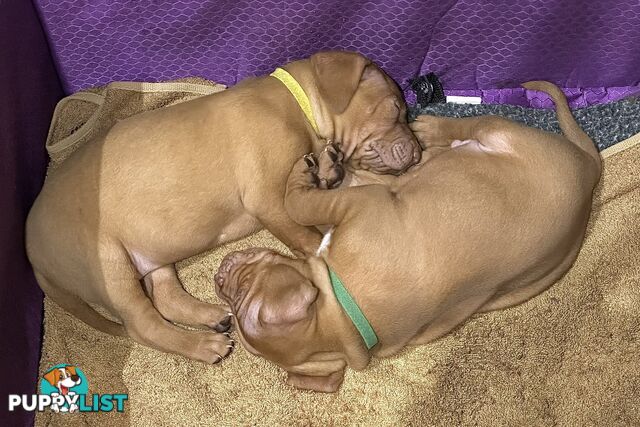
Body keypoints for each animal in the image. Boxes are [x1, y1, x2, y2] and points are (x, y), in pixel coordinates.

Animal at [27, 50, 422, 364]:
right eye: (395, 109)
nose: (419, 154)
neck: (297, 105)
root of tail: (33, 252)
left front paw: (328, 168)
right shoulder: (267, 197)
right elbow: (305, 237)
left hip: (152, 250)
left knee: (165, 297)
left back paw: (211, 316)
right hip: (109, 264)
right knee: (143, 325)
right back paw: (203, 345)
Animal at [214, 82, 600, 392]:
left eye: (244, 287)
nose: (219, 275)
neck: (343, 316)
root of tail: (590, 168)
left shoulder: (355, 204)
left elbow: (298, 204)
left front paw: (308, 171)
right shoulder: (362, 202)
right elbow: (307, 205)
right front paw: (322, 170)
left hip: (498, 132)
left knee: (463, 129)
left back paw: (421, 131)